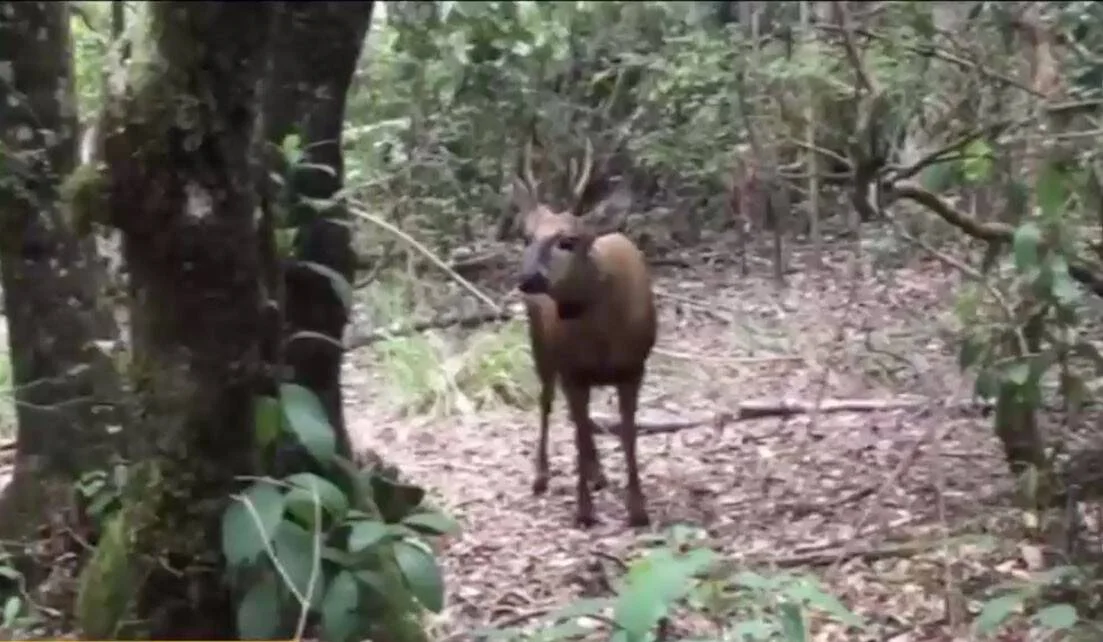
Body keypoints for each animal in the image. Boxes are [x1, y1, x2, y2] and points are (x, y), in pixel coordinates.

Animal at [509, 136, 656, 528]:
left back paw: (598, 473)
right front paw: (584, 511)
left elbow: (628, 433)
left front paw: (638, 509)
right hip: (540, 346)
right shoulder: (573, 370)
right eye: (526, 237)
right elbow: (576, 433)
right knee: (547, 402)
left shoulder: (633, 368)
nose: (528, 279)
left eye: (568, 240)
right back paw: (543, 476)